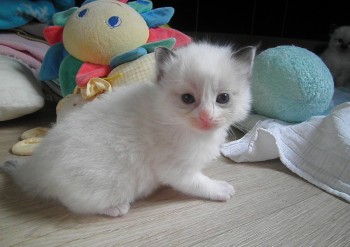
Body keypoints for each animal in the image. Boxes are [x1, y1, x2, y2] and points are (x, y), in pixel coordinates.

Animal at [1, 41, 256, 217]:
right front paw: (221, 189)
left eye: (223, 98)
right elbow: (200, 183)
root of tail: (36, 166)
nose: (206, 116)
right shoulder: (177, 170)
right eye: (187, 99)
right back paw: (116, 208)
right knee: (74, 204)